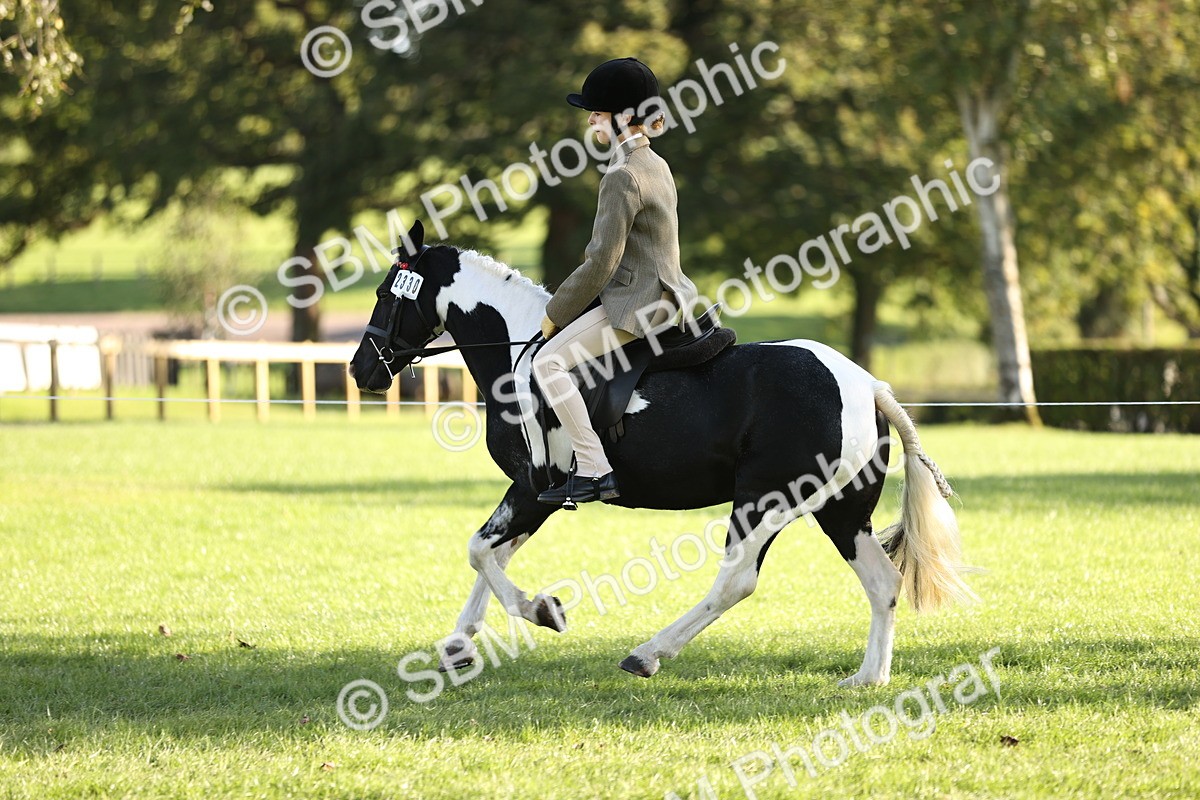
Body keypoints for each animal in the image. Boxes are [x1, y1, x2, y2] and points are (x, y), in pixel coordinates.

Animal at [348, 220, 974, 686]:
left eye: (382, 295)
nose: (360, 370)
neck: (516, 355)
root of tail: (866, 384)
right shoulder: (533, 494)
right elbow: (491, 553)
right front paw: (458, 647)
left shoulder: (533, 488)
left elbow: (481, 552)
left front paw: (543, 612)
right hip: (840, 510)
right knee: (882, 583)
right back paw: (868, 678)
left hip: (764, 501)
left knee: (736, 581)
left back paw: (647, 653)